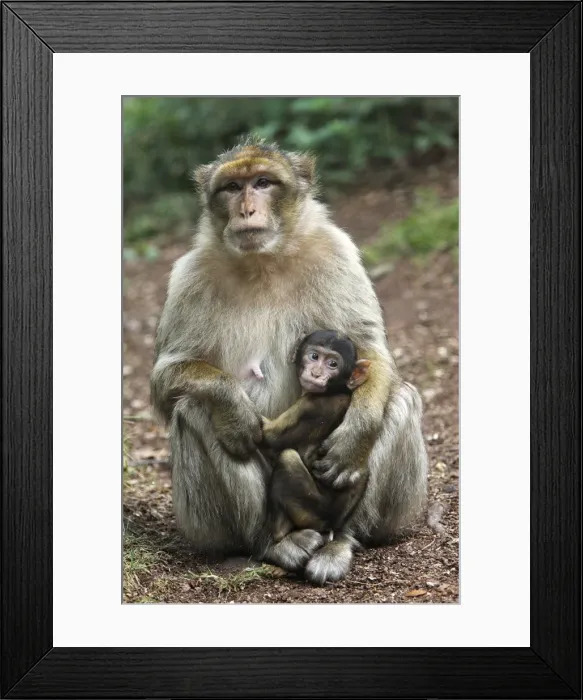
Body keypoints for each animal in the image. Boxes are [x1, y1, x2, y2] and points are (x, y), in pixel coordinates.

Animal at [261, 330, 372, 543]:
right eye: (314, 356)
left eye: (333, 364)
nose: (316, 373)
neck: (337, 390)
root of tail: (329, 524)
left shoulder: (311, 406)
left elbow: (268, 436)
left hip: (310, 511)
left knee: (287, 457)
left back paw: (279, 533)